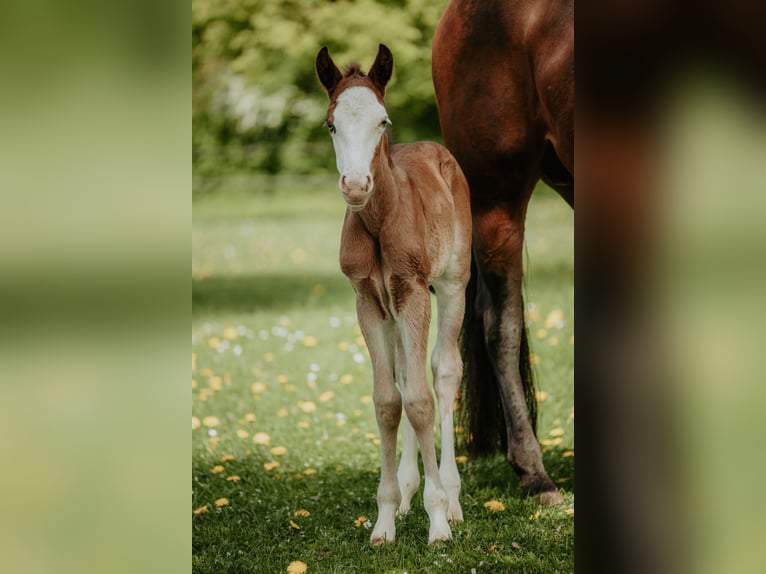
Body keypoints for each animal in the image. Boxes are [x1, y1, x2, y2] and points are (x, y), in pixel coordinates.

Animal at [316, 44, 472, 545]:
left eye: (382, 121)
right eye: (331, 124)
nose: (355, 185)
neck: (379, 218)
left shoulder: (413, 291)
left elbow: (421, 401)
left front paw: (438, 520)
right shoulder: (368, 300)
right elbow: (389, 401)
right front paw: (384, 519)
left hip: (452, 286)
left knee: (443, 373)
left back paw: (453, 499)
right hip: (394, 309)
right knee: (406, 374)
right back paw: (406, 494)